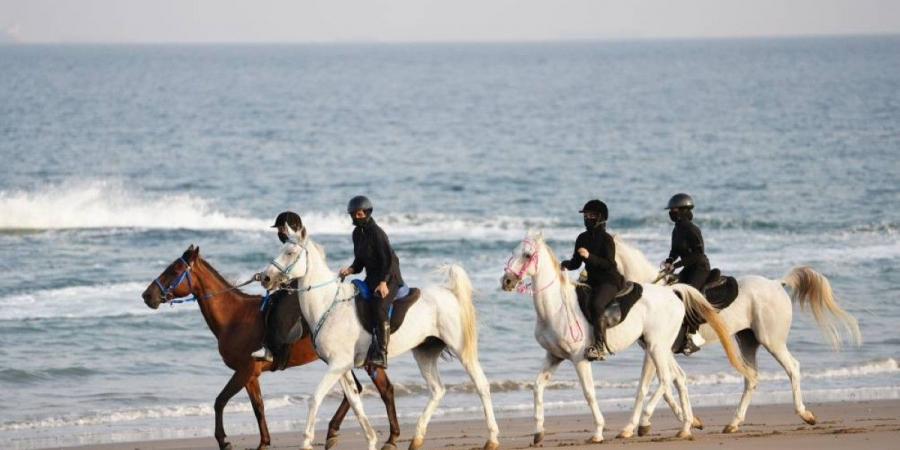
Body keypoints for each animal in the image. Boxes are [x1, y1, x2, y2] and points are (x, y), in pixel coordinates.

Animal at [142, 246, 400, 450]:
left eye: (174, 271)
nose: (147, 295)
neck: (234, 317)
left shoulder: (244, 371)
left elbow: (220, 401)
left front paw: (224, 440)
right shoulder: (251, 375)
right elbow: (258, 406)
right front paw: (264, 441)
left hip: (364, 360)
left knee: (385, 390)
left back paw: (390, 437)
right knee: (357, 390)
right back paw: (334, 432)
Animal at [260, 227, 500, 450]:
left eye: (290, 252)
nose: (265, 278)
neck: (329, 304)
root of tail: (450, 293)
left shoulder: (338, 365)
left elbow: (315, 398)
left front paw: (307, 441)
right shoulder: (342, 368)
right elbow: (356, 403)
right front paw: (372, 440)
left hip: (461, 350)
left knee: (481, 385)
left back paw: (492, 439)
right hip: (425, 352)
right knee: (437, 390)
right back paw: (417, 439)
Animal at [500, 232, 752, 442]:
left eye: (527, 255)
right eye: (512, 252)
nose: (507, 281)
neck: (556, 307)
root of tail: (672, 292)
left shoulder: (579, 359)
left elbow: (589, 393)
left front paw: (598, 432)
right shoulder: (554, 357)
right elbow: (537, 387)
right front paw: (538, 432)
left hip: (656, 347)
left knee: (665, 380)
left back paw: (645, 423)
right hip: (659, 348)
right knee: (676, 378)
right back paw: (684, 427)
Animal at [616, 237, 860, 434]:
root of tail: (776, 283)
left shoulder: (656, 349)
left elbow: (652, 386)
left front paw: (637, 425)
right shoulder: (658, 351)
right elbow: (670, 384)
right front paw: (691, 421)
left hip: (772, 340)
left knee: (792, 368)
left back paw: (805, 414)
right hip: (747, 341)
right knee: (751, 378)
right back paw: (734, 423)